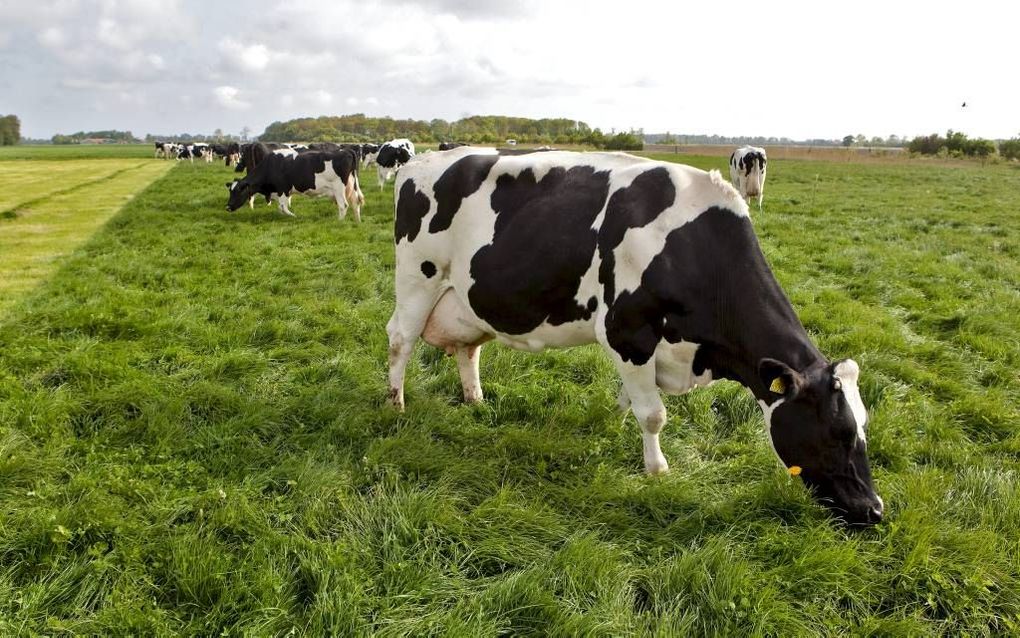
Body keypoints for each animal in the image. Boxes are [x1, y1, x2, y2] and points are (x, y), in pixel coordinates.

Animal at [225, 149, 365, 221]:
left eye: (238, 191)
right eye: (230, 191)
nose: (227, 207)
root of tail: (346, 150)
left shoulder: (283, 189)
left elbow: (283, 207)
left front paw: (294, 216)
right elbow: (280, 208)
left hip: (338, 188)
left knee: (344, 205)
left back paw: (339, 222)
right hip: (350, 185)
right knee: (355, 202)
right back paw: (357, 221)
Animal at [389, 146, 885, 526]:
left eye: (864, 426)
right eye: (840, 431)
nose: (875, 510)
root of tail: (422, 162)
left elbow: (629, 403)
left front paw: (611, 423)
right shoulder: (626, 331)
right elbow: (653, 414)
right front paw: (657, 470)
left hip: (465, 299)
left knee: (467, 349)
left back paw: (475, 399)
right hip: (418, 278)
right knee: (400, 338)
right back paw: (396, 403)